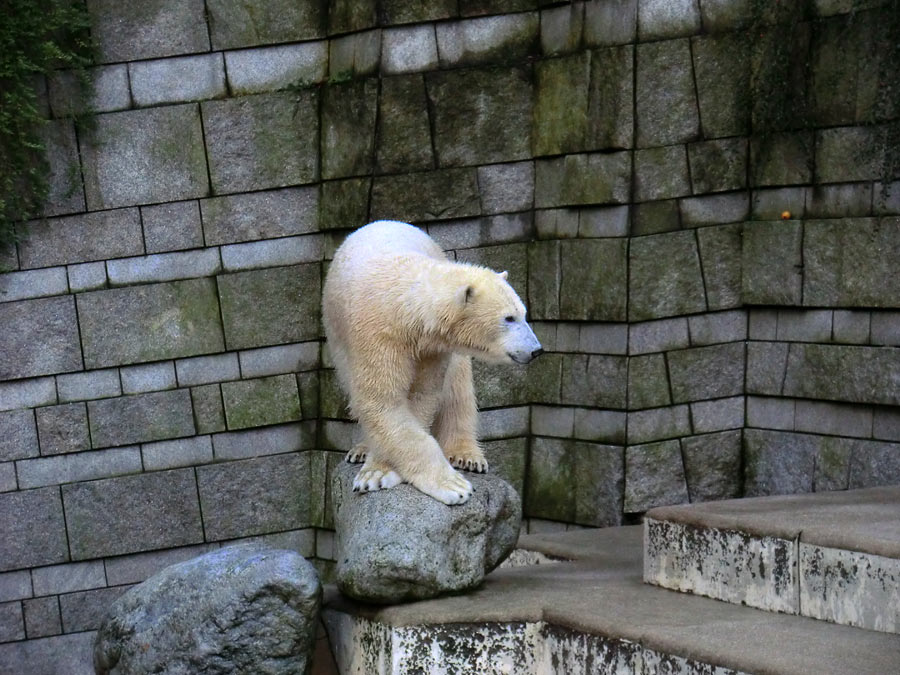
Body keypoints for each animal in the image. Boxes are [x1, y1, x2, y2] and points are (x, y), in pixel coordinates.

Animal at [326, 222, 544, 508]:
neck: (405, 302)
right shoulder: (377, 335)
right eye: (509, 318)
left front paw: (382, 470)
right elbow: (382, 402)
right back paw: (361, 449)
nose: (536, 350)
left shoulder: (432, 348)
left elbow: (421, 396)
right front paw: (452, 486)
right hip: (337, 339)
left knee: (457, 387)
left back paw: (466, 455)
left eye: (524, 314)